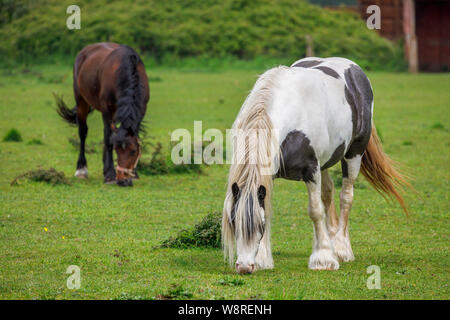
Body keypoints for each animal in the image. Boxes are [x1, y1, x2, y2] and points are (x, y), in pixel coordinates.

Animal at [56, 43, 149, 186]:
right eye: (117, 149)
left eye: (133, 151)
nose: (123, 180)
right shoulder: (106, 109)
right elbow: (108, 138)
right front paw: (109, 174)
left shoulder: (142, 109)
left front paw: (135, 174)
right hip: (81, 101)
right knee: (83, 132)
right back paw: (81, 169)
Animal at [223, 57, 410, 272]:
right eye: (233, 221)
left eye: (259, 224)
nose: (244, 267)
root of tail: (354, 68)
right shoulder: (270, 174)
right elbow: (271, 206)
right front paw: (263, 259)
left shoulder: (311, 170)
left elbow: (315, 210)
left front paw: (323, 258)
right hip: (325, 163)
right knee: (327, 194)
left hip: (354, 155)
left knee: (346, 197)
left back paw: (341, 249)